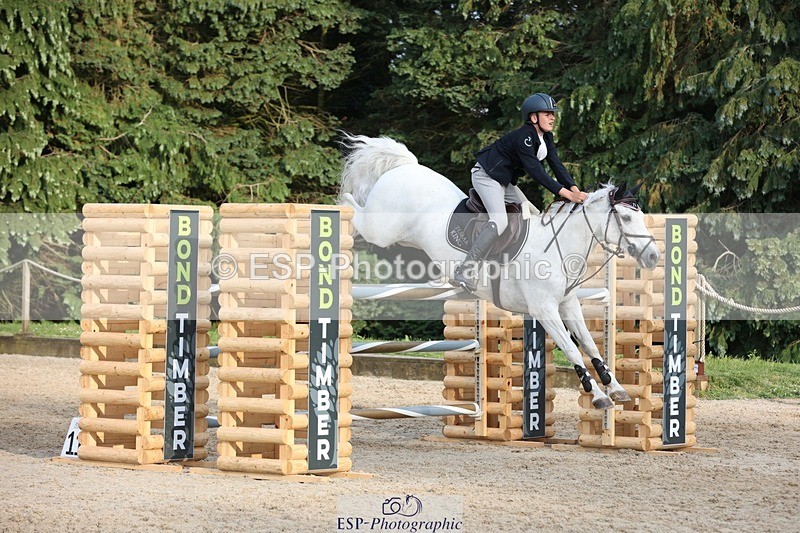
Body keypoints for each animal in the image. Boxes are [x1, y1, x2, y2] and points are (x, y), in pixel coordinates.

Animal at [338, 134, 660, 409]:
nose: (653, 256)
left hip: (399, 235)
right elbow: (571, 348)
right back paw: (341, 210)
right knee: (356, 209)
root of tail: (405, 167)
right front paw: (598, 397)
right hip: (381, 228)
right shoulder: (544, 309)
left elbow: (591, 345)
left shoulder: (568, 304)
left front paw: (616, 387)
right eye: (626, 217)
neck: (558, 246)